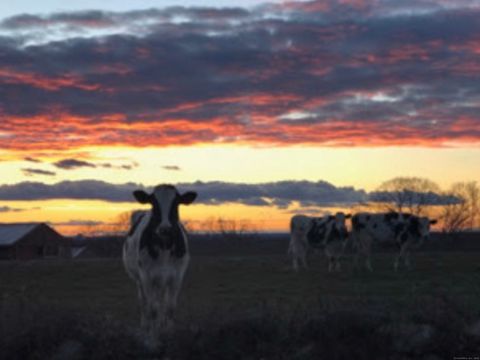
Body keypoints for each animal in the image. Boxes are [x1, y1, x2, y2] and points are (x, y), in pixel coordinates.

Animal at [124, 184, 199, 348]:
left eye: (176, 203)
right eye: (153, 203)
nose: (165, 228)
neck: (164, 247)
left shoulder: (176, 276)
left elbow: (170, 308)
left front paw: (168, 336)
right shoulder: (146, 276)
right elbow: (152, 309)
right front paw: (152, 341)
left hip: (162, 281)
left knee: (161, 303)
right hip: (139, 280)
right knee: (144, 304)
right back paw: (145, 329)